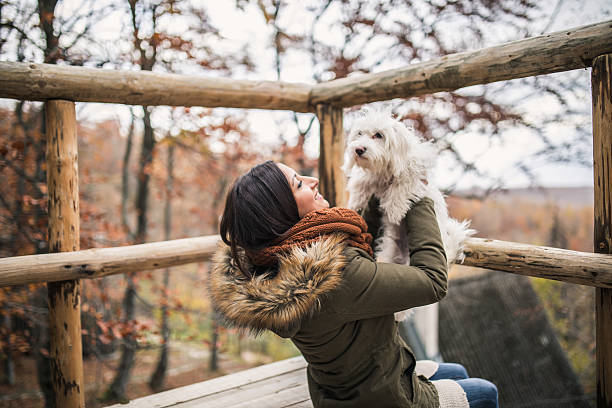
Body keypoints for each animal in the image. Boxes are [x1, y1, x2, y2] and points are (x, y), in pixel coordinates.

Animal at [342, 109, 476, 322]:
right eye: (359, 134)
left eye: (378, 135)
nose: (359, 149)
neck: (384, 171)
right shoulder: (372, 179)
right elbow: (362, 181)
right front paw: (356, 202)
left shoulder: (415, 171)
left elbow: (403, 183)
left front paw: (395, 209)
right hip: (391, 258)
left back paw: (398, 314)